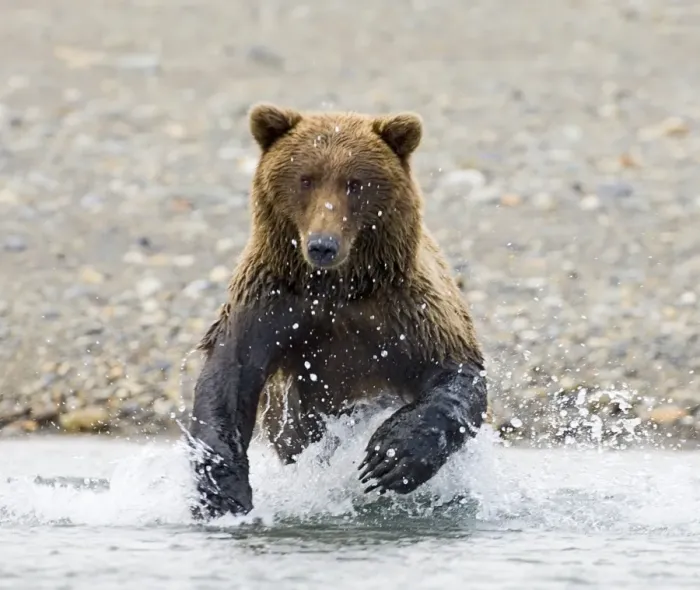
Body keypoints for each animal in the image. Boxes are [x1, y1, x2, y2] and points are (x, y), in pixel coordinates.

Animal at [186, 103, 488, 519]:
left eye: (355, 183)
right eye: (305, 179)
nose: (322, 245)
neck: (338, 288)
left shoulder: (408, 308)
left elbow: (455, 371)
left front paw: (391, 456)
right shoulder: (270, 300)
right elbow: (230, 375)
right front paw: (222, 493)